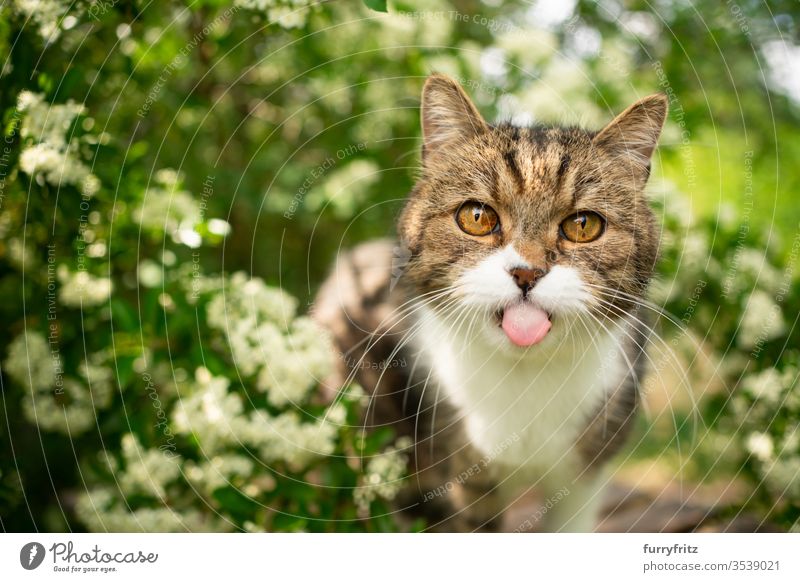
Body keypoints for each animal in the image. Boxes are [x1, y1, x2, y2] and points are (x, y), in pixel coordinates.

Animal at [314, 74, 668, 532]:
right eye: (477, 217)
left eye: (583, 225)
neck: (525, 377)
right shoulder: (460, 473)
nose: (527, 272)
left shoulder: (584, 477)